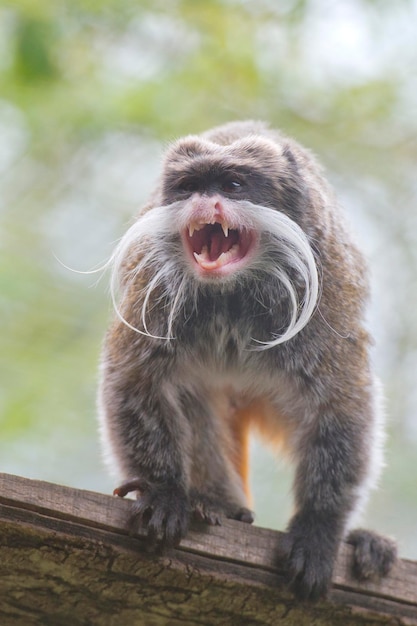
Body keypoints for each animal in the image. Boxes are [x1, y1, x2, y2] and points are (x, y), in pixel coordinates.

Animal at [98, 120, 396, 600]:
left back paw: (367, 543)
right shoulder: (152, 297)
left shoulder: (326, 308)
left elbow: (342, 406)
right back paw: (216, 503)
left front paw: (319, 527)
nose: (205, 201)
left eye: (232, 185)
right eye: (189, 187)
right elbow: (135, 380)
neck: (231, 296)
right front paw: (164, 491)